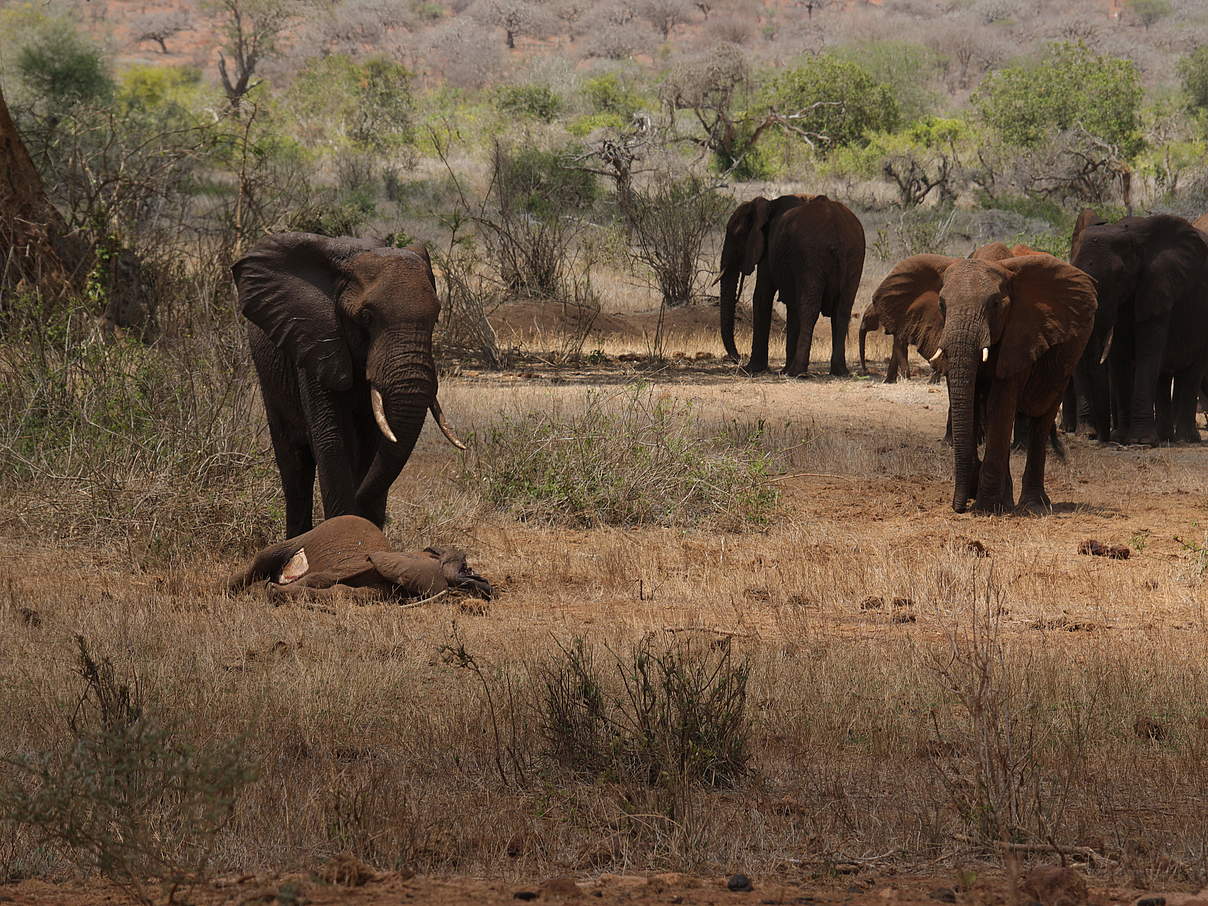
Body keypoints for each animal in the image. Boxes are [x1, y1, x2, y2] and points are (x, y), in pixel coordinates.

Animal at [227, 514, 490, 606]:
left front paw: (272, 592)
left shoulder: (387, 589)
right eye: (466, 567)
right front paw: (271, 591)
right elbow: (319, 578)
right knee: (263, 558)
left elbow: (346, 593)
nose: (486, 583)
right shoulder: (359, 563)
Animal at [233, 230, 463, 538]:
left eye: (436, 318)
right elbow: (333, 440)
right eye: (365, 317)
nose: (364, 503)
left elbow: (376, 441)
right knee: (294, 463)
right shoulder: (316, 341)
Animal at [715, 195, 869, 379]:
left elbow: (762, 296)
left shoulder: (769, 250)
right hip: (855, 255)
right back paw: (839, 372)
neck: (768, 205)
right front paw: (782, 370)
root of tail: (837, 229)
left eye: (736, 234)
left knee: (809, 309)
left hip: (811, 256)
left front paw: (753, 369)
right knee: (842, 310)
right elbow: (791, 304)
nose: (738, 357)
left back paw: (797, 372)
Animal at [869, 252, 1096, 514]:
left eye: (995, 304)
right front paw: (979, 496)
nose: (958, 506)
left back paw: (1034, 504)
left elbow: (1001, 401)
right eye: (942, 305)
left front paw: (987, 507)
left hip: (1069, 358)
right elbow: (968, 397)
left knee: (1043, 414)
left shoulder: (1020, 336)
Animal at [1067, 213, 1208, 446]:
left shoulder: (1157, 285)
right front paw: (1122, 438)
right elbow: (1119, 353)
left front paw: (1141, 441)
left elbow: (1148, 351)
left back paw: (1186, 440)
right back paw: (1166, 437)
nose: (1096, 437)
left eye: (1119, 275)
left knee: (1192, 371)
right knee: (1164, 376)